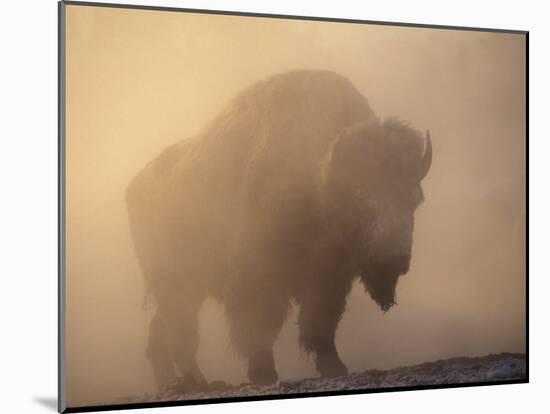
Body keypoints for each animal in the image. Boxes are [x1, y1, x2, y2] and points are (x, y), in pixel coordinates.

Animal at [127, 69, 434, 390]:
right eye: (360, 198)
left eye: (414, 198)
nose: (394, 258)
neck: (319, 181)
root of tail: (134, 187)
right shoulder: (259, 279)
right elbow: (260, 327)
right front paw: (263, 374)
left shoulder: (329, 279)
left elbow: (321, 323)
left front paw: (335, 367)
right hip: (174, 285)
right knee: (180, 333)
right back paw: (197, 381)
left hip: (186, 288)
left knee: (162, 333)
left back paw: (173, 383)